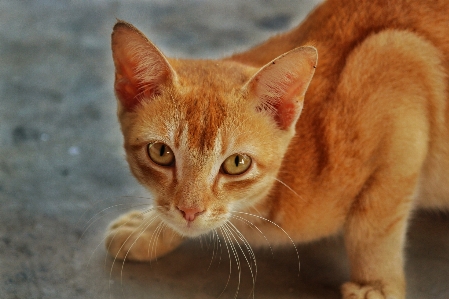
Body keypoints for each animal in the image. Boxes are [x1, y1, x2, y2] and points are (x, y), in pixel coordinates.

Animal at [106, 0, 448, 298]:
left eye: (237, 163)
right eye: (161, 153)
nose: (190, 211)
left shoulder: (398, 68)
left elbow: (374, 225)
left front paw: (375, 284)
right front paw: (150, 228)